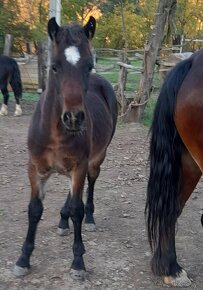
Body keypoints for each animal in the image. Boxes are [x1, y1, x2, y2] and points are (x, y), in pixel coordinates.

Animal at [13, 16, 117, 280]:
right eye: (54, 66)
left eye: (89, 66)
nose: (73, 118)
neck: (56, 134)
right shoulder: (35, 168)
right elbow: (34, 210)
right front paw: (23, 259)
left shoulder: (80, 166)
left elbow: (77, 210)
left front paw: (78, 262)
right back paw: (62, 221)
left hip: (95, 160)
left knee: (90, 184)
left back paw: (89, 218)